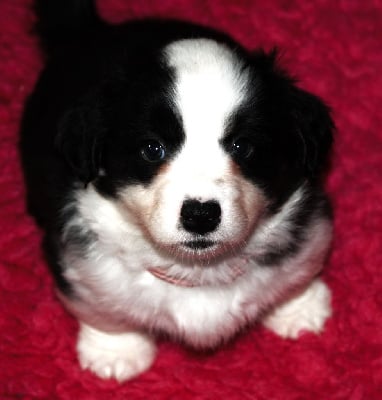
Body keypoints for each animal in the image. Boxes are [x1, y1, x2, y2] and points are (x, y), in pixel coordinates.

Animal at [19, 0, 332, 382]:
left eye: (243, 147)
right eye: (153, 149)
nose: (200, 215)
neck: (199, 268)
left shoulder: (312, 231)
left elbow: (299, 272)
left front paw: (300, 308)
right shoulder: (81, 267)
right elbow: (104, 309)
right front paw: (116, 352)